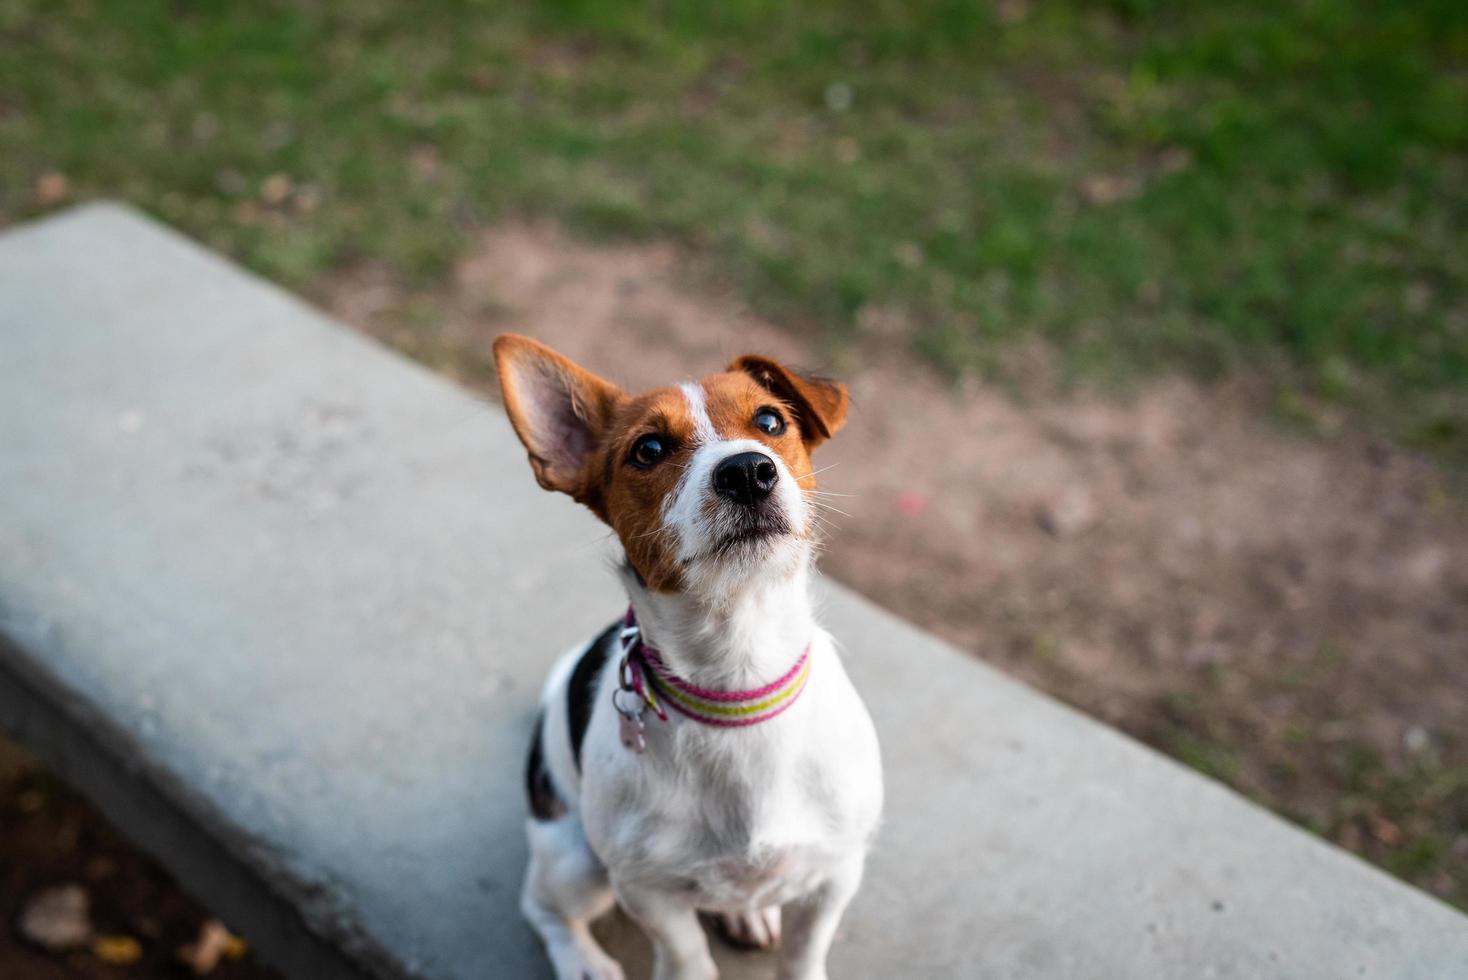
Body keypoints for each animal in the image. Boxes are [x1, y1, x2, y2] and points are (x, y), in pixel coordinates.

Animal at [493, 337, 880, 979]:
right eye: (648, 449)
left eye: (770, 422)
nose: (747, 470)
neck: (738, 680)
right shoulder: (648, 892)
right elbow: (688, 956)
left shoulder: (835, 873)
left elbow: (805, 953)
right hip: (578, 866)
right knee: (539, 904)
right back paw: (584, 962)